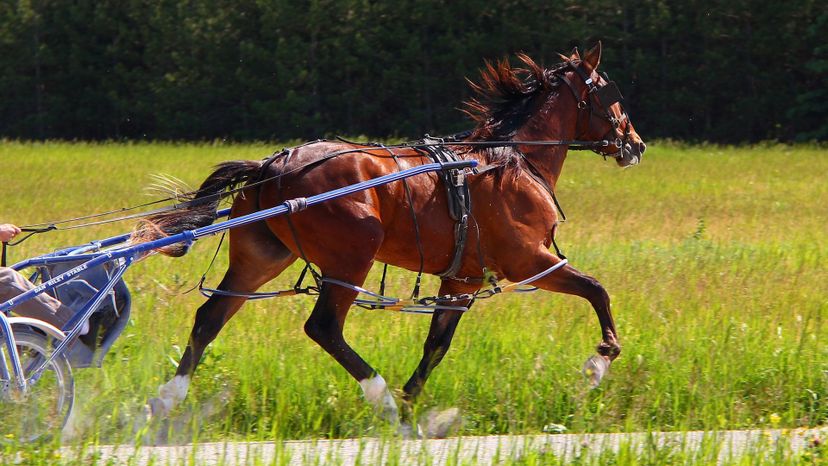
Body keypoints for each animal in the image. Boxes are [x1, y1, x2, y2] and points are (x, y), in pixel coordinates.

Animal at [136, 41, 648, 436]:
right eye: (612, 93)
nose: (636, 144)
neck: (512, 160)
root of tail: (272, 165)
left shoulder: (461, 279)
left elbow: (436, 346)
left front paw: (409, 406)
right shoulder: (529, 260)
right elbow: (597, 291)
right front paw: (600, 361)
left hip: (262, 256)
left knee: (209, 318)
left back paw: (164, 403)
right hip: (351, 257)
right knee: (324, 328)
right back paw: (378, 397)